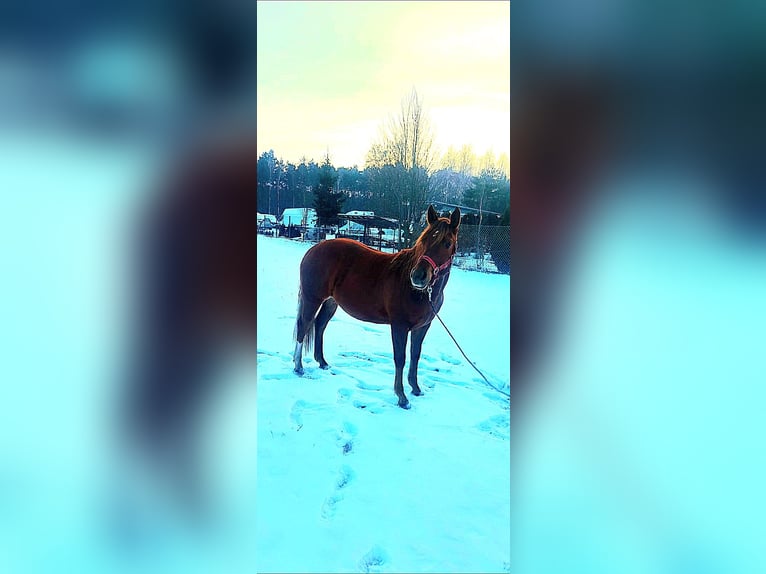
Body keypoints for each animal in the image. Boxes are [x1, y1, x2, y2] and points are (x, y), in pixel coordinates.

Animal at [293, 205, 460, 409]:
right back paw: (298, 366)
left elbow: (415, 355)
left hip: (331, 302)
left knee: (320, 325)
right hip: (312, 299)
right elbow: (400, 358)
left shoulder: (422, 327)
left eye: (447, 243)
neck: (420, 292)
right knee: (304, 326)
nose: (418, 276)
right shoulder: (399, 326)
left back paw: (322, 362)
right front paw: (402, 398)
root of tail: (314, 249)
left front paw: (416, 388)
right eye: (424, 240)